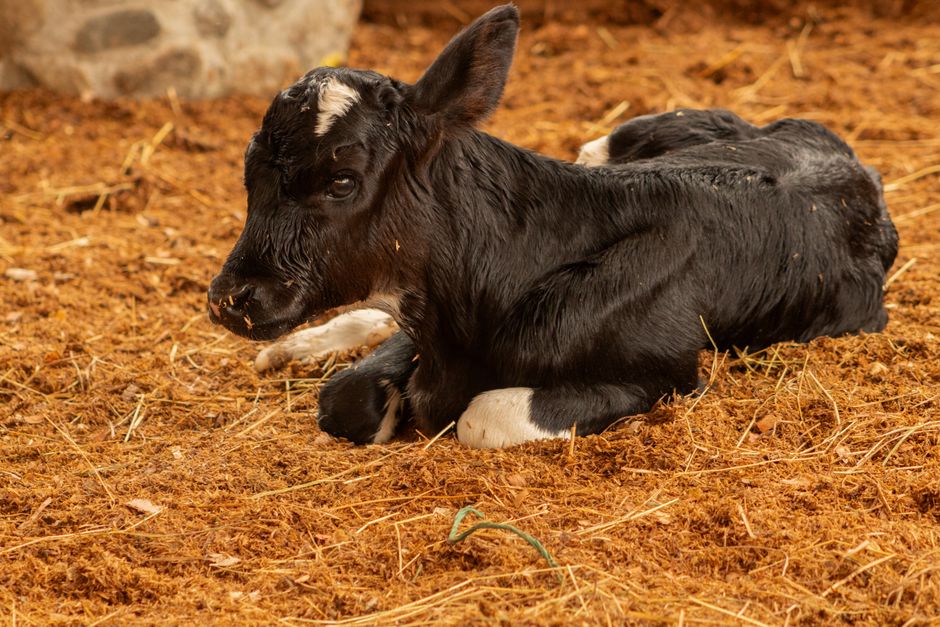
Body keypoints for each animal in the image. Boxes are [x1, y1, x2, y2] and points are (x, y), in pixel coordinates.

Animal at [207, 5, 898, 449]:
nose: (229, 298)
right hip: (618, 137)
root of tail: (842, 155)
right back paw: (294, 347)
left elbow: (482, 417)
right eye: (248, 171)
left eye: (342, 180)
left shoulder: (667, 372)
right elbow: (349, 395)